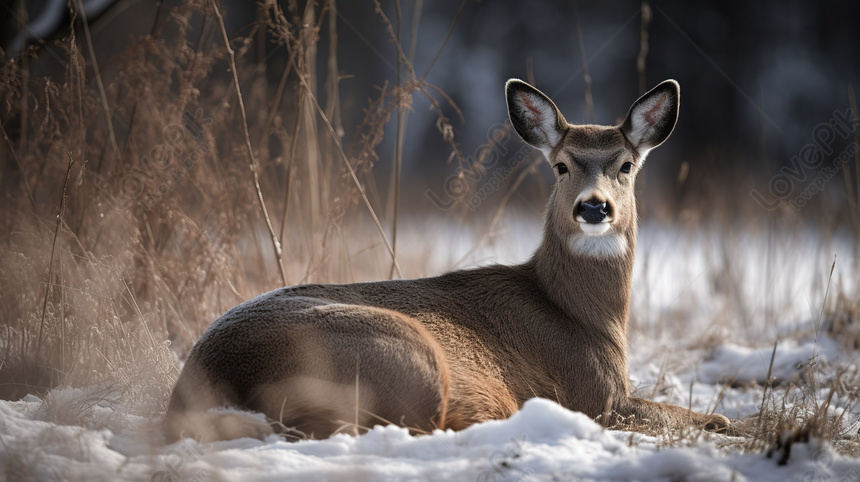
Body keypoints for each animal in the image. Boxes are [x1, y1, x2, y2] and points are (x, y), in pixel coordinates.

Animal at [166, 77, 732, 442]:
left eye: (626, 165)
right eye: (561, 165)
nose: (594, 206)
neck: (585, 317)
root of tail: (202, 386)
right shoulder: (596, 394)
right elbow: (709, 419)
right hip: (407, 355)